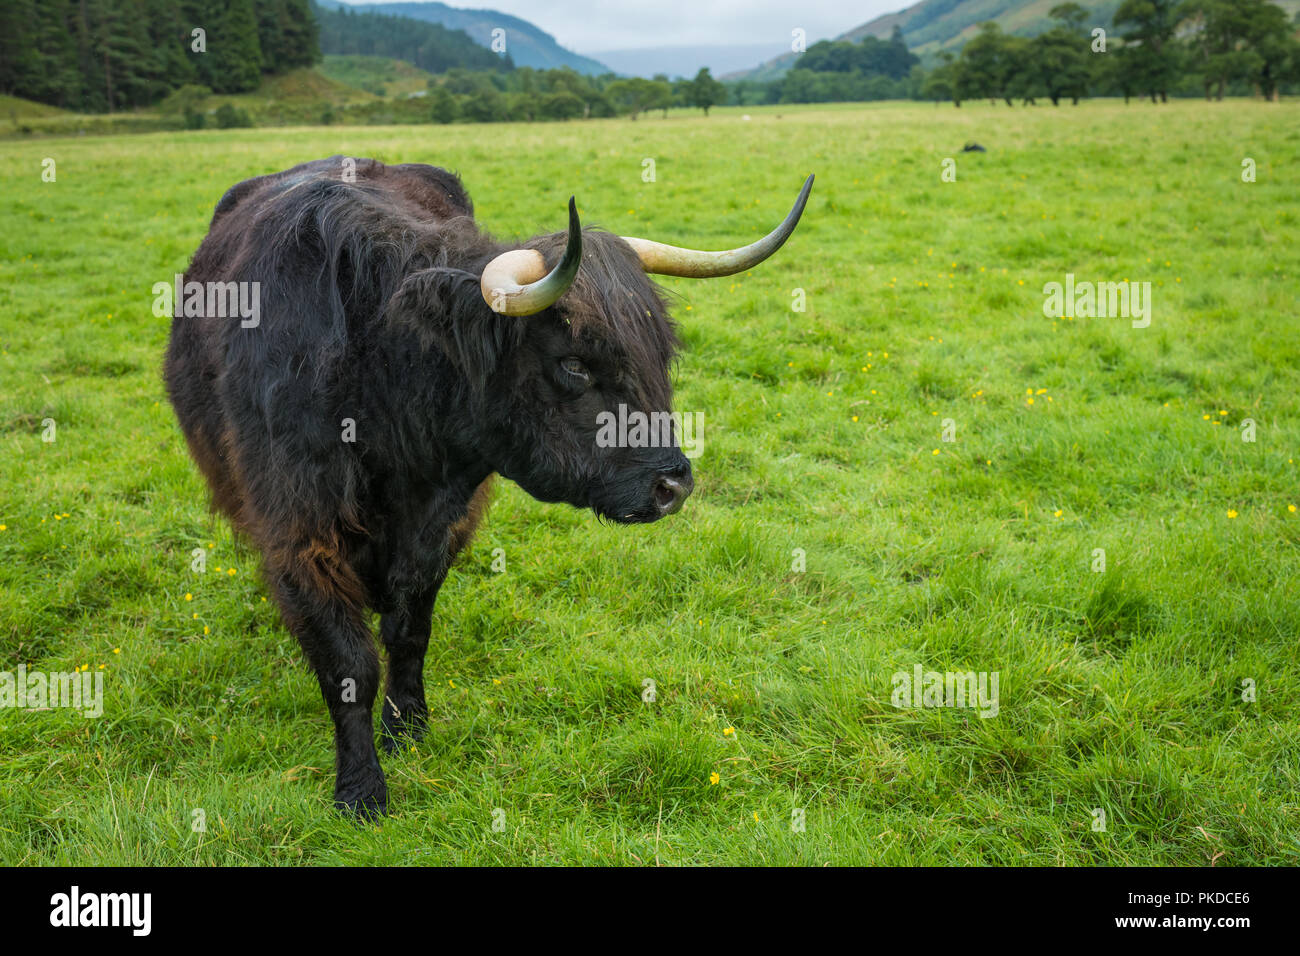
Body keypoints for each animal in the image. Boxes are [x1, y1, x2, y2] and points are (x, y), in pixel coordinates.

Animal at [164, 157, 812, 816]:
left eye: (661, 353)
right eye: (574, 364)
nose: (673, 485)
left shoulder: (442, 525)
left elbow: (409, 632)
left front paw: (409, 729)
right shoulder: (299, 531)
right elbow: (349, 665)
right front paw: (362, 791)